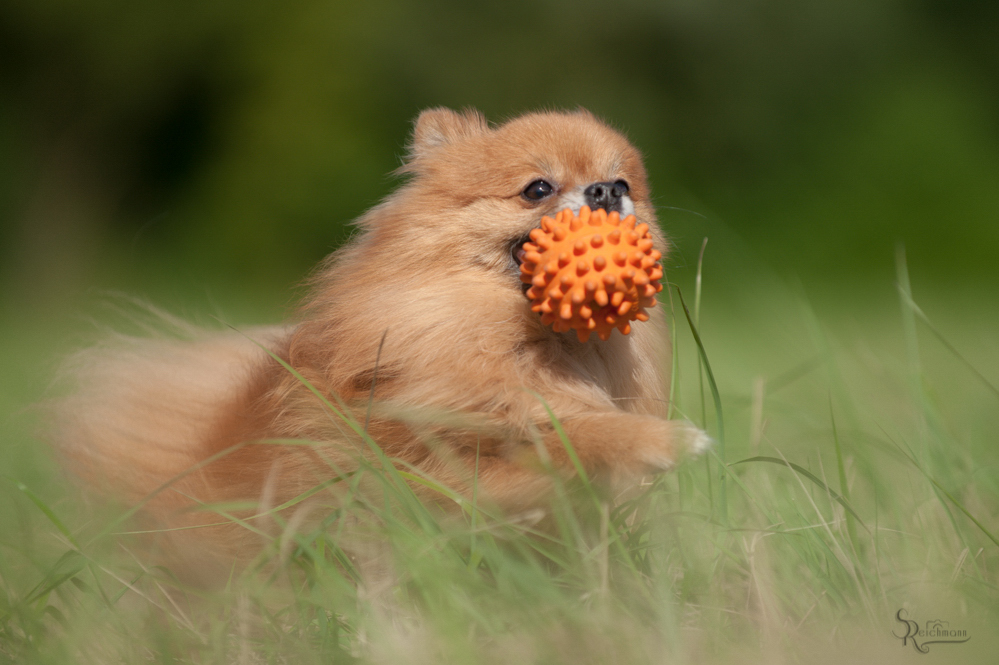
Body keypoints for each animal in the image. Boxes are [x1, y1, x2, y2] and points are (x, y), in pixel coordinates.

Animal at [54, 109, 712, 576]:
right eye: (537, 188)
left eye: (623, 182)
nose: (605, 193)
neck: (534, 348)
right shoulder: (433, 460)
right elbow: (566, 438)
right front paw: (661, 441)